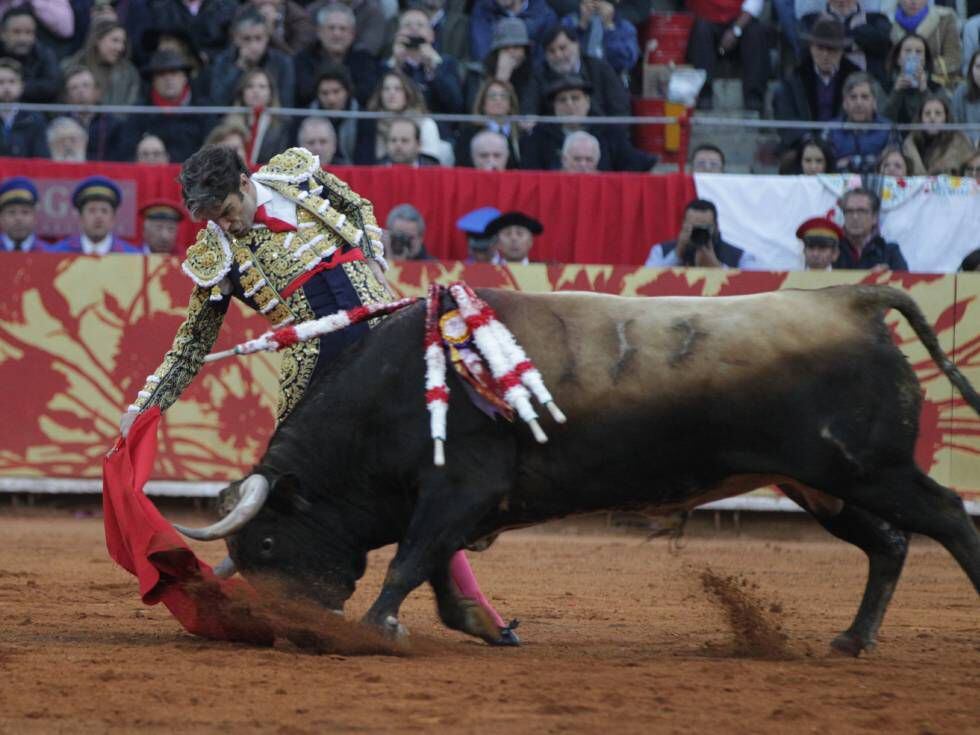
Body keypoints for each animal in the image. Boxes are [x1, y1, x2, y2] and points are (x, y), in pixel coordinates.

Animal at [172, 288, 976, 656]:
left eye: (266, 541)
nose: (293, 629)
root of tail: (851, 299)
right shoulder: (451, 501)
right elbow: (434, 569)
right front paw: (479, 627)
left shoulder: (460, 488)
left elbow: (409, 560)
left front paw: (376, 628)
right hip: (824, 485)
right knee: (890, 543)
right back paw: (852, 639)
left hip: (870, 469)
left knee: (949, 516)